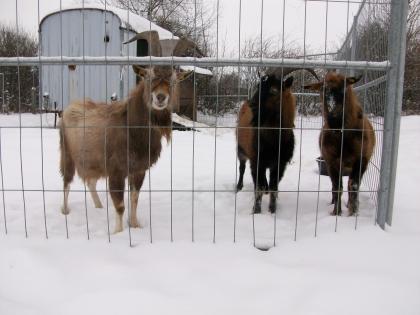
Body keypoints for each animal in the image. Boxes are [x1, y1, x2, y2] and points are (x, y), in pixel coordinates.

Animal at [59, 63, 190, 235]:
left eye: (173, 81)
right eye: (148, 78)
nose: (160, 97)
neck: (133, 131)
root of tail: (69, 107)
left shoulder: (139, 169)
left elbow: (134, 199)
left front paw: (135, 225)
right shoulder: (116, 170)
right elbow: (120, 205)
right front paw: (118, 232)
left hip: (93, 161)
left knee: (91, 182)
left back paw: (99, 206)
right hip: (67, 153)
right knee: (66, 182)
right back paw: (65, 210)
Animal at [236, 68, 318, 214]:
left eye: (274, 90)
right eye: (259, 86)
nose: (252, 105)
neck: (273, 141)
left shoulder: (280, 164)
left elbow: (274, 188)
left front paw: (272, 210)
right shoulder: (256, 160)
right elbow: (258, 188)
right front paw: (256, 211)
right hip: (241, 149)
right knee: (242, 168)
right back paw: (239, 187)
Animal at [304, 70, 376, 216]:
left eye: (344, 88)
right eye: (322, 90)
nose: (333, 117)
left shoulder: (361, 160)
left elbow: (353, 185)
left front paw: (353, 212)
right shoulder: (332, 161)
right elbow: (337, 187)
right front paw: (336, 212)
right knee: (335, 185)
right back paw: (333, 203)